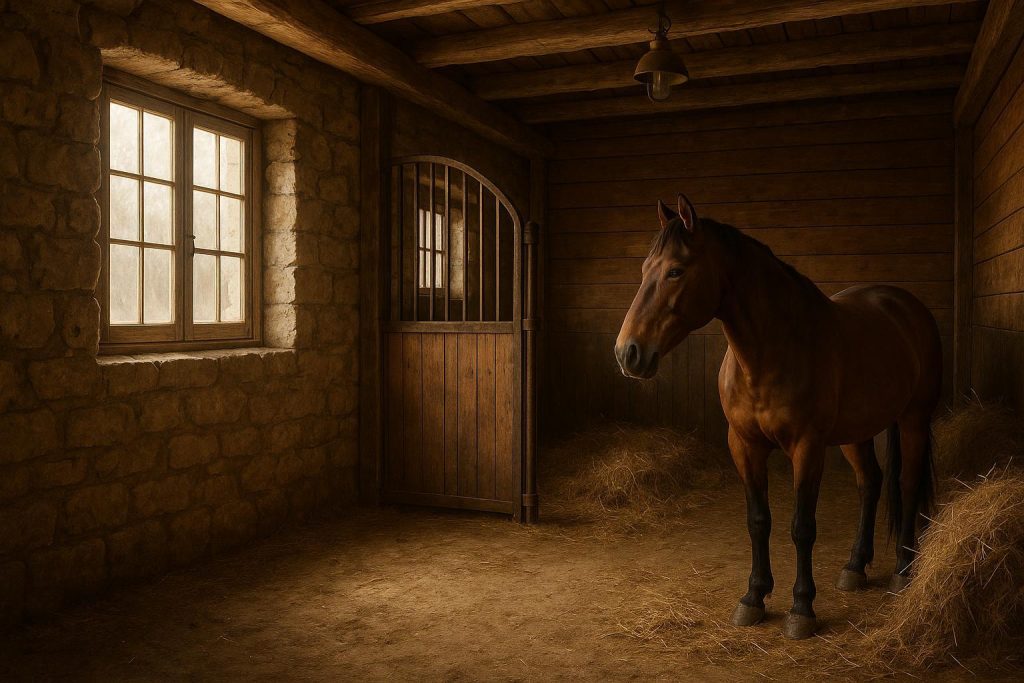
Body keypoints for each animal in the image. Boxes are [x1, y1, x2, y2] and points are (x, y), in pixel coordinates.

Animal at [614, 195, 941, 640]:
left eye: (675, 271)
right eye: (645, 269)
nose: (627, 352)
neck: (773, 350)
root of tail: (905, 305)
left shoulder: (807, 447)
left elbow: (802, 527)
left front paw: (801, 608)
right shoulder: (744, 446)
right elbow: (758, 520)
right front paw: (753, 597)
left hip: (913, 419)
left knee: (906, 485)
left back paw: (904, 571)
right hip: (856, 433)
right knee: (870, 483)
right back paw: (855, 567)